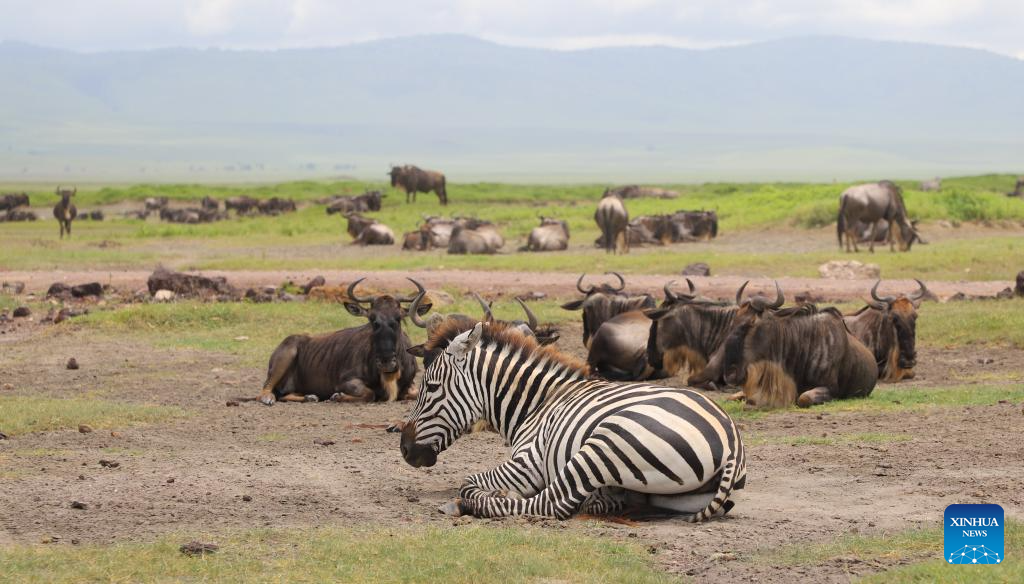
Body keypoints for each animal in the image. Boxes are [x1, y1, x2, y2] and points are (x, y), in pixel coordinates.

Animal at [403, 323, 749, 518]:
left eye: (430, 387)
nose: (404, 448)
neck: (537, 404)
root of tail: (731, 439)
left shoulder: (527, 463)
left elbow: (467, 483)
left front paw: (487, 495)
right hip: (681, 495)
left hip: (605, 442)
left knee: (551, 504)